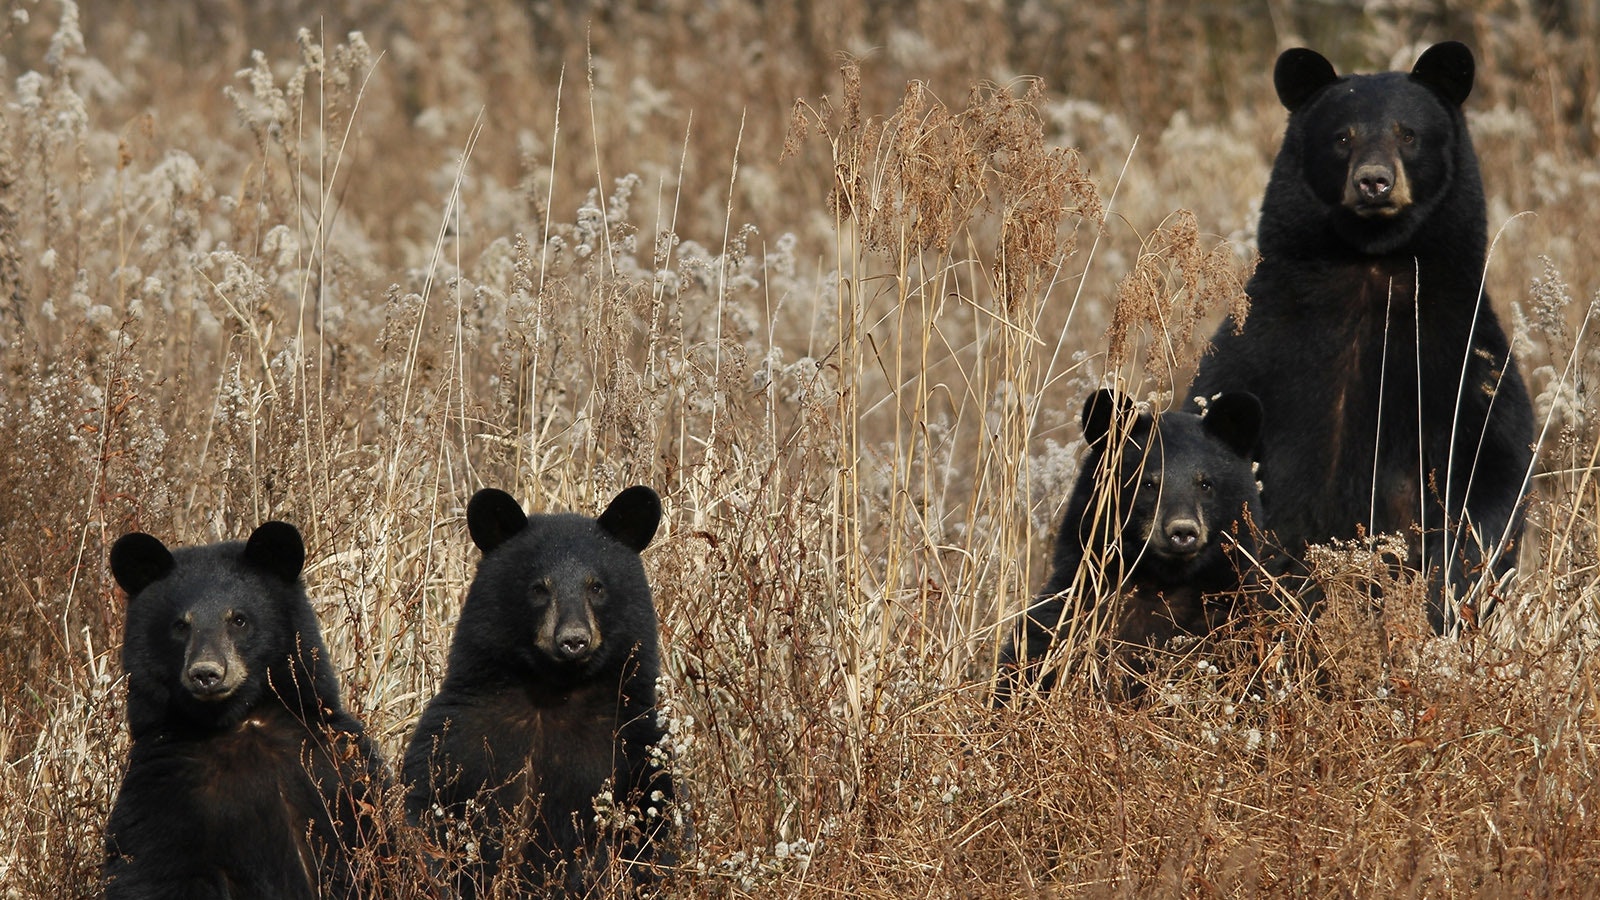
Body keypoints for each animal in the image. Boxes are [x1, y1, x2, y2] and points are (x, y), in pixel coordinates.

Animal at [104, 521, 384, 900]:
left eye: (238, 619)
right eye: (180, 625)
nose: (206, 673)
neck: (240, 722)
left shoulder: (334, 769)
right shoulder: (160, 793)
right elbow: (152, 872)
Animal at [403, 485, 676, 897]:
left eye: (596, 586)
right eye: (538, 588)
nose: (574, 640)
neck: (554, 690)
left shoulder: (635, 739)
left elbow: (652, 826)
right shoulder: (458, 733)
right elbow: (425, 806)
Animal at [997, 389, 1265, 701]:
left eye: (1205, 484)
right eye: (1147, 484)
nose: (1182, 531)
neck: (1162, 582)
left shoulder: (1229, 623)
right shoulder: (1068, 619)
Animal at [1186, 41, 1535, 633]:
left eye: (1408, 133)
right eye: (1342, 136)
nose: (1374, 181)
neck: (1371, 268)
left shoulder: (1458, 355)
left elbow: (1493, 466)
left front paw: (1442, 592)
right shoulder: (1258, 348)